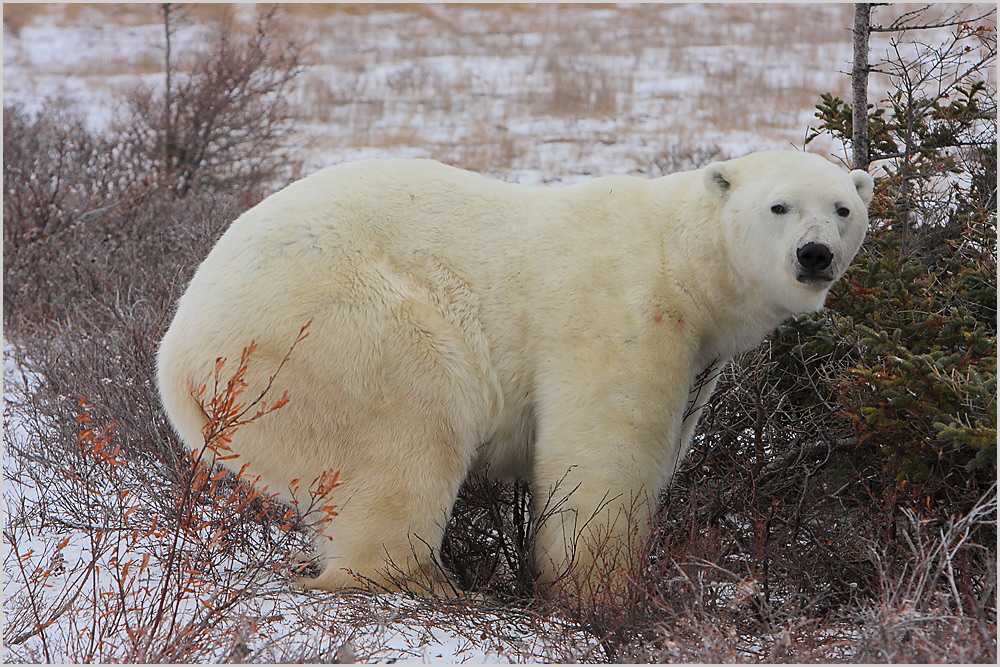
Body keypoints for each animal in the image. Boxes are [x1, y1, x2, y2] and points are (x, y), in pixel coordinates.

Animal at [154, 153, 868, 600]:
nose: (814, 254)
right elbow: (601, 455)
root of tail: (177, 354)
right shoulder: (621, 312)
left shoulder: (699, 360)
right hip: (330, 327)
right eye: (779, 206)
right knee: (413, 424)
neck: (680, 259)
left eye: (841, 208)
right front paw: (595, 596)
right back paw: (428, 582)